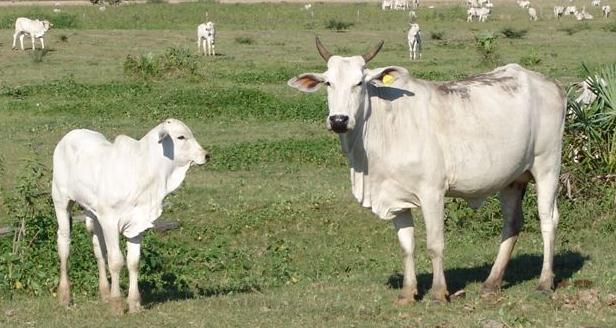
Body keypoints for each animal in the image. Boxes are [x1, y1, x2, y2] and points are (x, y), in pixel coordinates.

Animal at [52, 118, 209, 312]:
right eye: (181, 137)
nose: (206, 155)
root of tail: (70, 134)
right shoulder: (110, 220)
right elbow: (116, 261)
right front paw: (117, 303)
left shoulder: (137, 223)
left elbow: (133, 262)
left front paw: (134, 303)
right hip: (61, 201)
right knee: (64, 245)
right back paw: (65, 295)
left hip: (93, 214)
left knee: (98, 249)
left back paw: (105, 293)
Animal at [286, 37, 564, 304]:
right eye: (328, 83)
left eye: (360, 83)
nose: (339, 120)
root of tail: (551, 83)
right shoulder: (395, 198)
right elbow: (407, 246)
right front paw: (408, 293)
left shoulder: (433, 193)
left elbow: (434, 245)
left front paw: (439, 293)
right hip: (511, 180)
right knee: (512, 223)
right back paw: (491, 283)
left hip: (547, 166)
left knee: (548, 220)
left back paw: (544, 282)